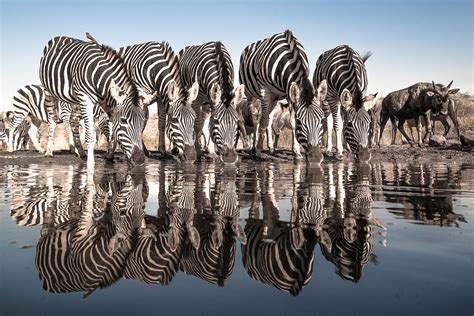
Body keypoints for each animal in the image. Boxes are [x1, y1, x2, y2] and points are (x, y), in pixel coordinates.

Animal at [39, 34, 144, 170]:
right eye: (123, 121)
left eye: (142, 123)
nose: (140, 160)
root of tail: (61, 37)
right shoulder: (86, 98)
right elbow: (90, 135)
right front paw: (90, 164)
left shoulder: (107, 104)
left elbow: (112, 134)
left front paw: (109, 156)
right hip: (49, 91)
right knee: (52, 120)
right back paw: (49, 152)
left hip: (76, 99)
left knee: (73, 121)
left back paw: (81, 152)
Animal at [239, 29, 328, 162]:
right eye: (300, 122)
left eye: (322, 120)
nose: (316, 157)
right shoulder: (265, 91)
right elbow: (263, 121)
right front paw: (258, 151)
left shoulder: (289, 91)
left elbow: (290, 121)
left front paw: (297, 152)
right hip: (251, 94)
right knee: (256, 120)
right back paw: (253, 148)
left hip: (275, 98)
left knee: (269, 118)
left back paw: (271, 147)